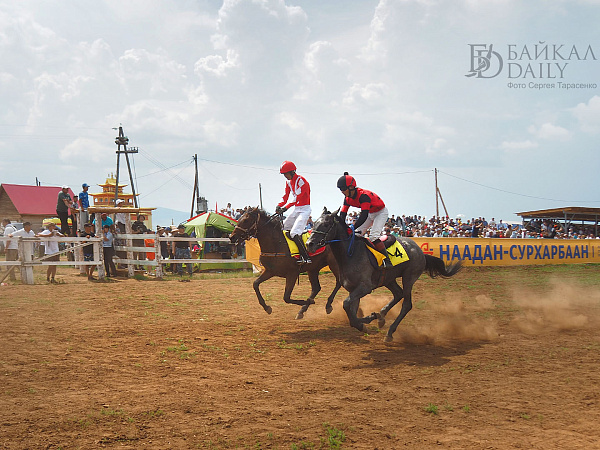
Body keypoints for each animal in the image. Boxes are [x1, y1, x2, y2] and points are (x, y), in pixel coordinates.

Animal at [306, 207, 462, 342]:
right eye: (314, 222)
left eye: (326, 224)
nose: (309, 244)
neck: (351, 254)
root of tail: (420, 250)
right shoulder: (353, 289)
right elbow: (351, 312)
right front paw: (370, 319)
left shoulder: (365, 287)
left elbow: (347, 305)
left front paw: (367, 320)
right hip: (389, 279)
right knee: (398, 294)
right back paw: (381, 315)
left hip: (409, 277)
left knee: (407, 304)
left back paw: (390, 331)